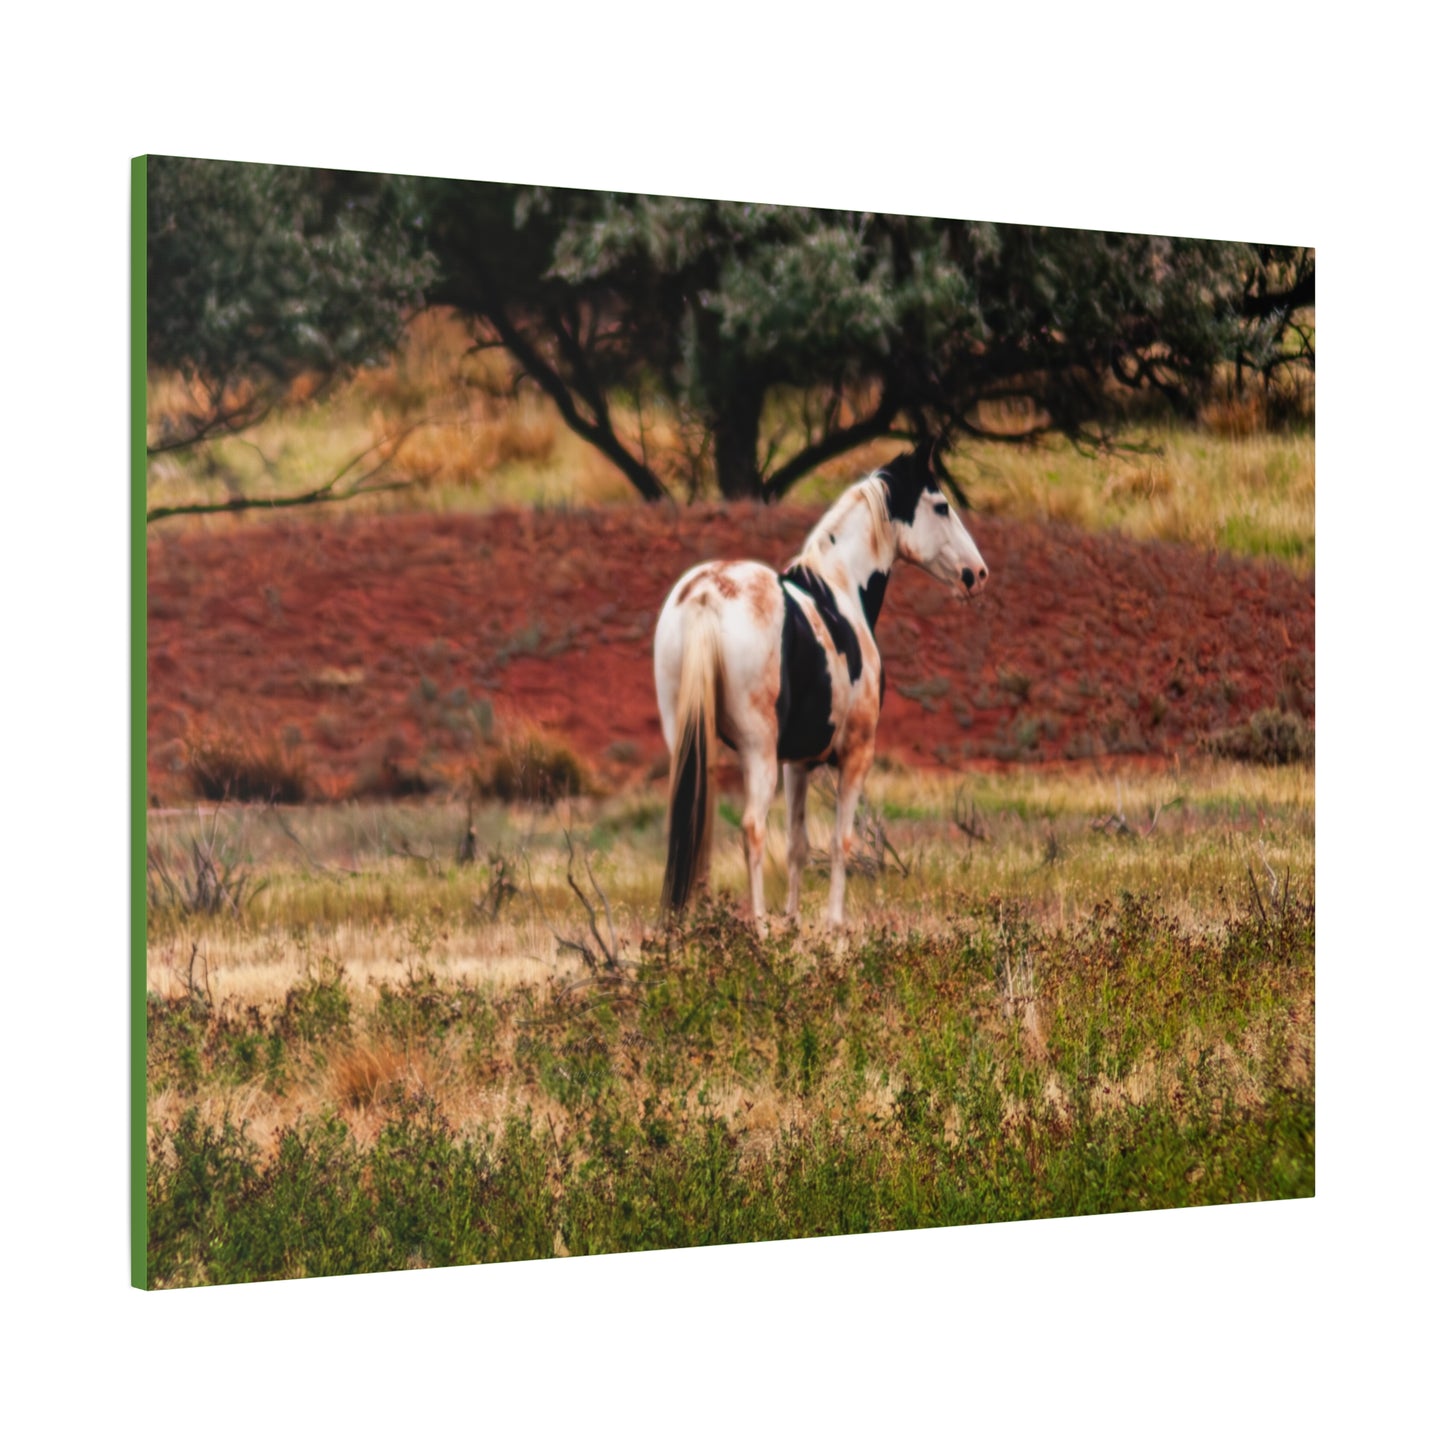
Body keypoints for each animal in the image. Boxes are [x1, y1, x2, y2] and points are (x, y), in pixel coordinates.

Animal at [653, 443, 989, 930]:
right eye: (941, 506)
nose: (977, 574)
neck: (839, 589)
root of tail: (705, 596)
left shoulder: (797, 763)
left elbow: (797, 845)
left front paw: (793, 925)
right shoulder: (854, 755)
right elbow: (839, 842)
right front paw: (834, 928)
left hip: (690, 739)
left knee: (698, 823)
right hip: (757, 750)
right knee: (753, 828)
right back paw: (758, 927)